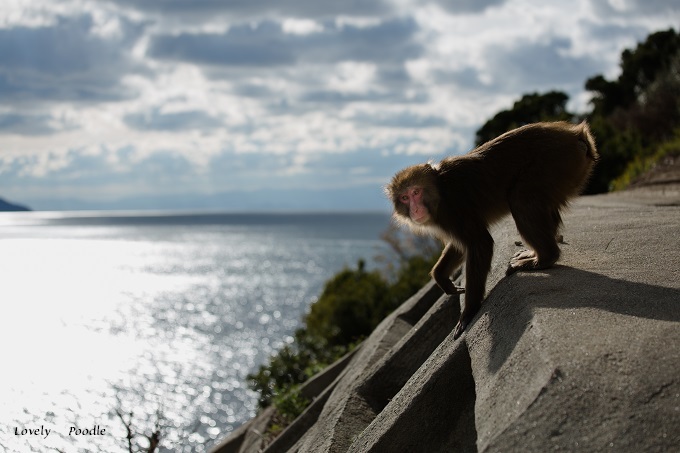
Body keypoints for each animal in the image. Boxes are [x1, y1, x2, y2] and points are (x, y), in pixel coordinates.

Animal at [386, 122, 596, 338]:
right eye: (404, 198)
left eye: (416, 192)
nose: (415, 209)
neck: (439, 191)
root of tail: (576, 134)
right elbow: (460, 246)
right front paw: (442, 278)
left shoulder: (453, 208)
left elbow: (480, 243)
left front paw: (469, 312)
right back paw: (535, 253)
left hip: (555, 160)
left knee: (521, 199)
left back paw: (545, 257)